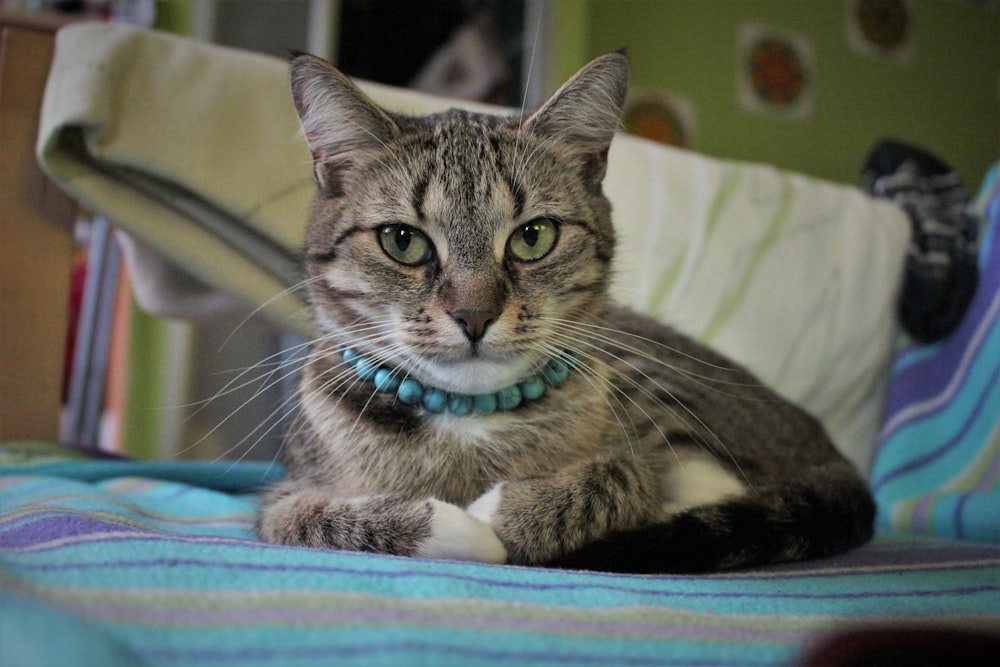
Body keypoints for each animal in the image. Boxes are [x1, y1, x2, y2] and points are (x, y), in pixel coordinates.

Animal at [258, 52, 876, 576]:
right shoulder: (282, 496)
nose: (475, 316)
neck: (469, 422)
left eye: (533, 236)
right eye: (402, 241)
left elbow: (626, 476)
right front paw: (459, 528)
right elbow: (310, 517)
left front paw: (504, 515)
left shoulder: (631, 446)